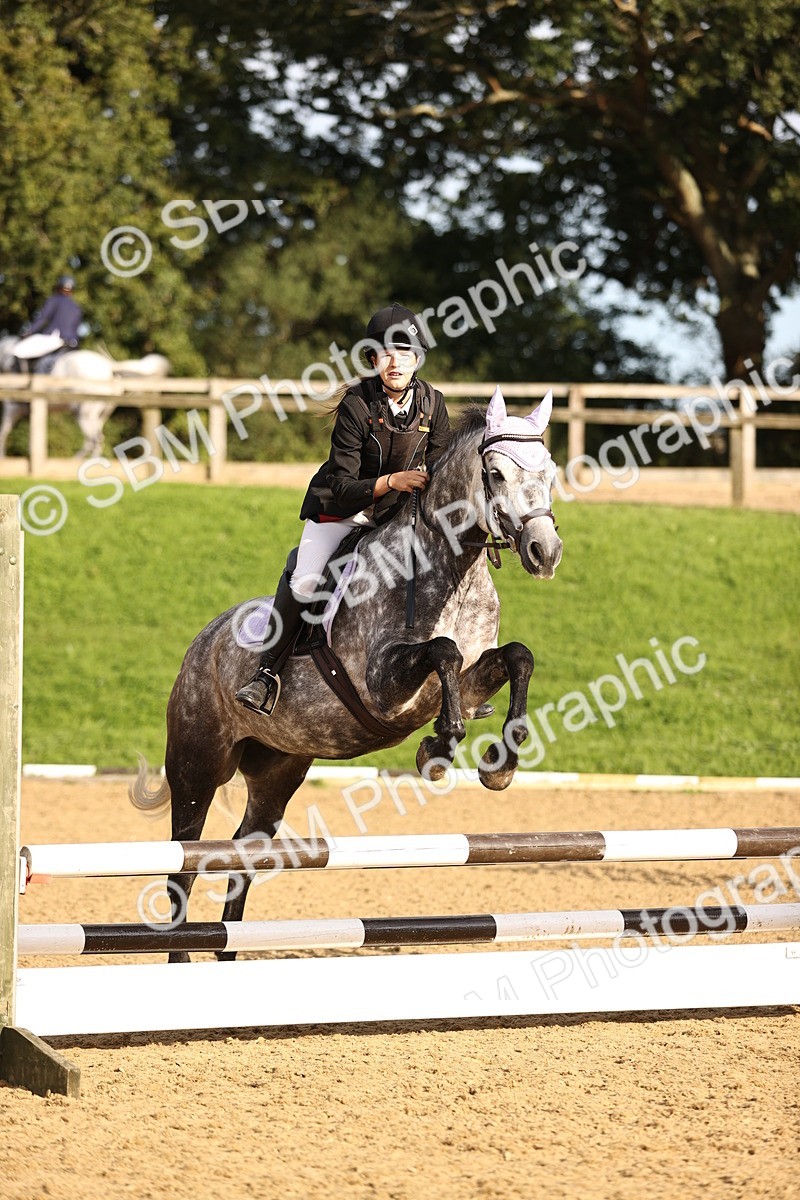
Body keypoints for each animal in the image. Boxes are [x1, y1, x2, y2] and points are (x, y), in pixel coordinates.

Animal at [0, 338, 170, 458]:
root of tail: (109, 367)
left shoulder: (12, 407)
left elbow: (3, 432)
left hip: (84, 412)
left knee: (93, 440)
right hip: (100, 413)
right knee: (96, 440)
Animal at [131, 386, 563, 961]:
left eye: (551, 472)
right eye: (494, 474)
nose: (545, 552)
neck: (450, 569)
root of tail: (204, 641)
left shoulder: (471, 682)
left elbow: (517, 656)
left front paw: (498, 762)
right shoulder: (381, 686)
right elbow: (443, 650)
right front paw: (439, 747)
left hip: (278, 771)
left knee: (244, 856)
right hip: (196, 764)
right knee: (185, 862)